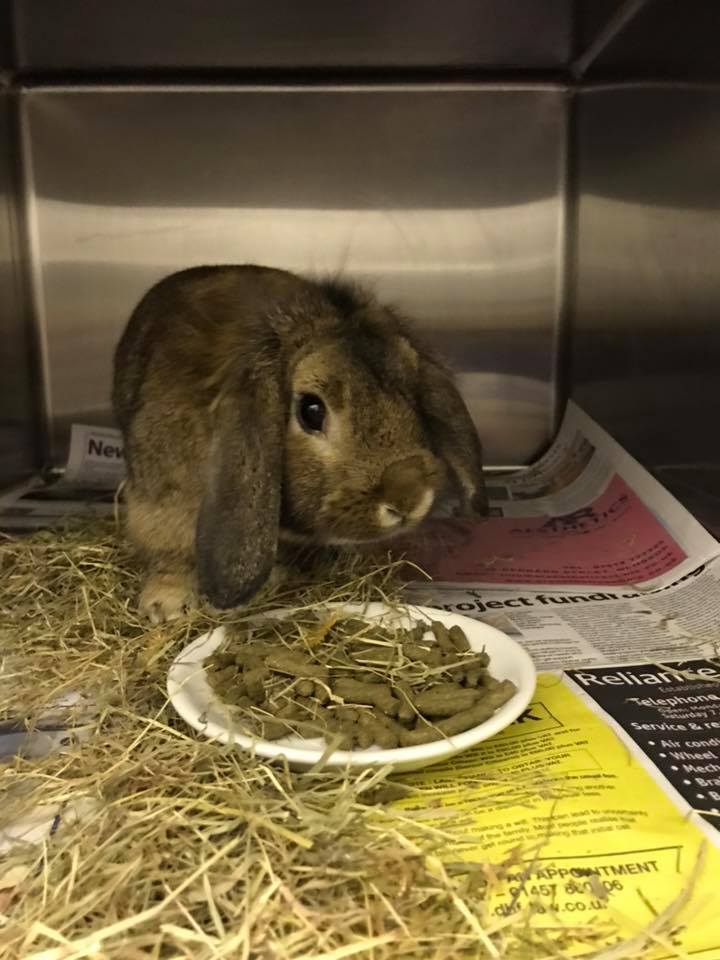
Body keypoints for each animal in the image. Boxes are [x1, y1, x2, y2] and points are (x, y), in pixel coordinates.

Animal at [112, 265, 487, 623]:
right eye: (311, 411)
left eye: (412, 395)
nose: (408, 499)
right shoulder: (161, 501)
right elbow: (169, 553)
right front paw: (167, 605)